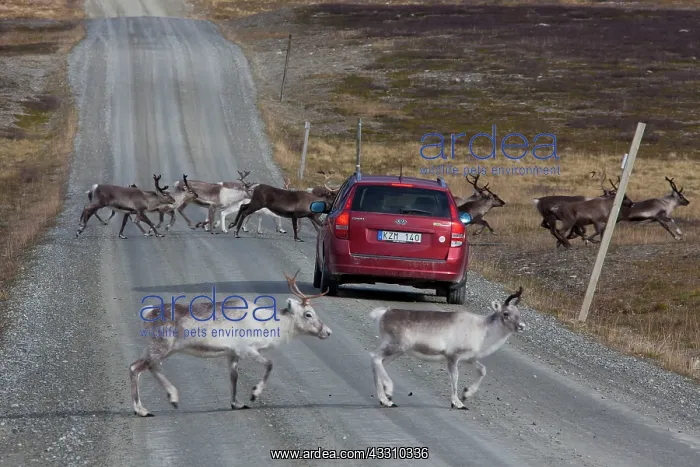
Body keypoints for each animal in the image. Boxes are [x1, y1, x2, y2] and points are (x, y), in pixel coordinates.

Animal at [130, 269, 332, 417]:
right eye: (308, 314)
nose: (327, 331)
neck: (267, 324)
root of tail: (148, 312)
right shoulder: (247, 349)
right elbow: (269, 364)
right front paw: (254, 393)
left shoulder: (233, 353)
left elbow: (234, 376)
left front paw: (236, 403)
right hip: (161, 346)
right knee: (135, 367)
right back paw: (142, 409)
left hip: (158, 348)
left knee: (148, 366)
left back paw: (171, 398)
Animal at [369, 286, 525, 409]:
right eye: (506, 313)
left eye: (519, 313)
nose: (522, 326)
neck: (483, 331)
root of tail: (383, 314)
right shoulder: (452, 356)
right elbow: (455, 378)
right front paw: (458, 403)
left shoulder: (468, 358)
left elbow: (482, 370)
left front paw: (466, 393)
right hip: (396, 346)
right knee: (374, 357)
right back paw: (388, 391)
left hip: (397, 351)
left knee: (379, 362)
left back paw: (385, 400)